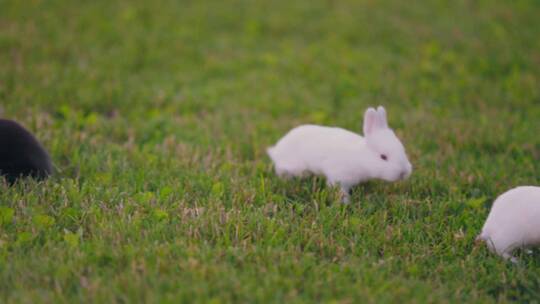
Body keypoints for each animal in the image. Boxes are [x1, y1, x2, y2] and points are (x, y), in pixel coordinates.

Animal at [266, 105, 414, 203]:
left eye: (403, 150)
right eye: (383, 157)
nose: (404, 173)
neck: (360, 158)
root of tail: (277, 149)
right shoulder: (338, 176)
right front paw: (345, 202)